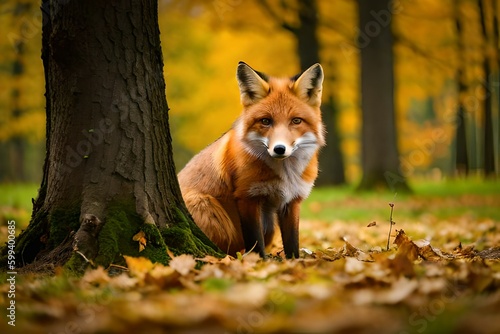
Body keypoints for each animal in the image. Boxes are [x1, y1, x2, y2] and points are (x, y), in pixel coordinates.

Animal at [178, 61, 326, 258]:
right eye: (265, 121)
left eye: (296, 121)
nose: (279, 149)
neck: (286, 174)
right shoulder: (247, 197)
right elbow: (255, 242)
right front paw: (259, 263)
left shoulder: (292, 200)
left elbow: (293, 243)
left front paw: (296, 262)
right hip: (211, 212)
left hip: (269, 225)